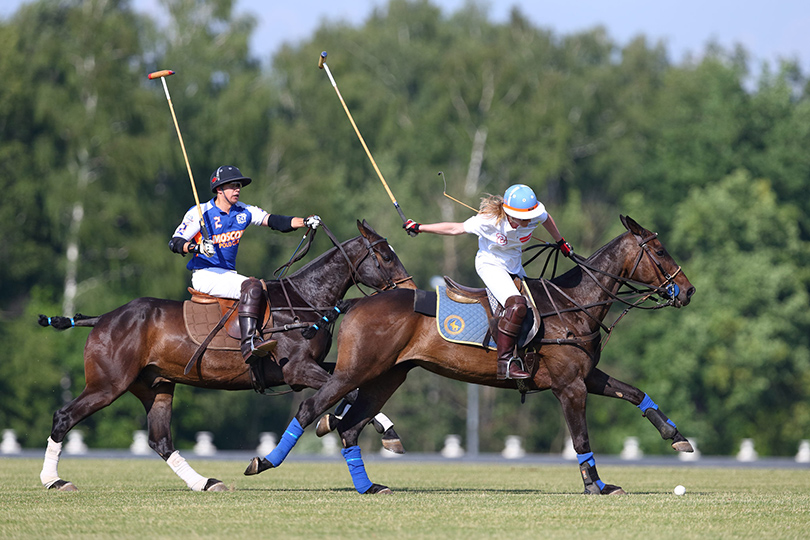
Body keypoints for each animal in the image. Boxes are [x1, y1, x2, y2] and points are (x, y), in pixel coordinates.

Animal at [34, 221, 414, 492]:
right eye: (386, 255)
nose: (410, 291)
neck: (304, 300)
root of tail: (104, 318)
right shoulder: (297, 370)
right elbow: (349, 389)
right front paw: (349, 424)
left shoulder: (310, 366)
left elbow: (347, 385)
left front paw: (361, 425)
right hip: (108, 383)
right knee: (64, 417)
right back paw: (54, 480)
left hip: (156, 386)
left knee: (160, 440)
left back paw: (205, 482)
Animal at [245, 215, 696, 494]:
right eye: (659, 251)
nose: (688, 290)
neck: (574, 303)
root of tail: (354, 303)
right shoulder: (570, 386)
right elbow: (581, 437)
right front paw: (596, 486)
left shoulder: (585, 376)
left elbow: (634, 392)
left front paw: (677, 436)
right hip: (354, 371)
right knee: (312, 408)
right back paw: (264, 461)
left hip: (387, 376)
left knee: (351, 427)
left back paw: (369, 486)